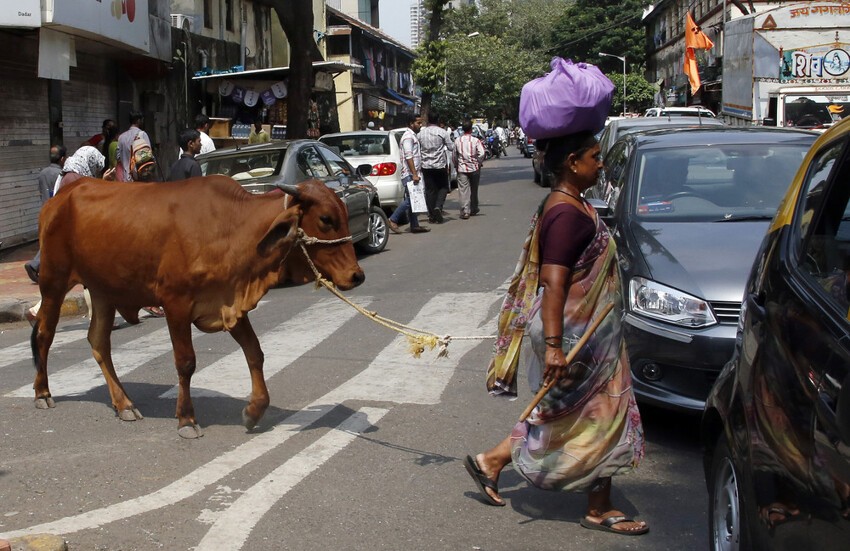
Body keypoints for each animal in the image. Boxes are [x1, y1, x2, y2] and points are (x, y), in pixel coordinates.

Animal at [29, 177, 362, 440]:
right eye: (326, 219)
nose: (357, 276)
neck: (232, 227)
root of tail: (61, 196)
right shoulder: (175, 303)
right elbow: (186, 363)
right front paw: (186, 419)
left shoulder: (229, 303)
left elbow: (255, 353)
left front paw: (254, 410)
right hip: (54, 281)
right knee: (44, 334)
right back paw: (43, 393)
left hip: (102, 290)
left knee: (98, 342)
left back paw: (124, 404)